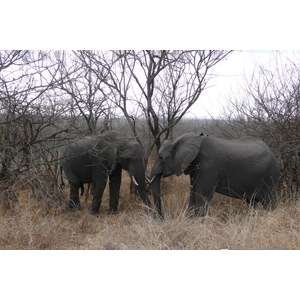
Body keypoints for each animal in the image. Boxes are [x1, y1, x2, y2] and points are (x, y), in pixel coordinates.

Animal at [151, 132, 280, 217]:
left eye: (161, 157)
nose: (161, 218)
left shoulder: (209, 167)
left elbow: (201, 196)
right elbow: (193, 193)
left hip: (270, 177)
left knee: (269, 203)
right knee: (252, 202)